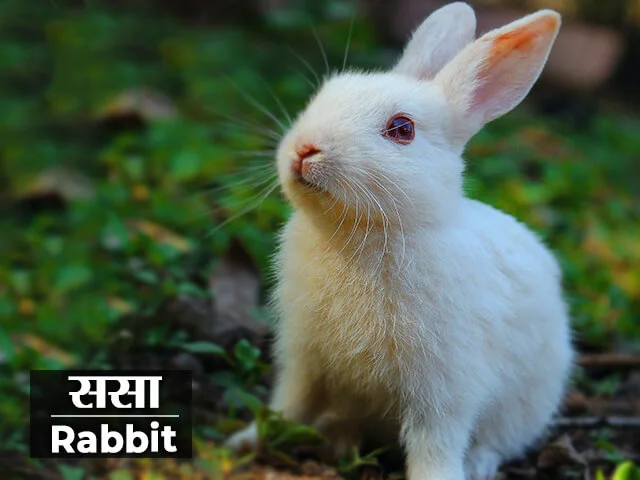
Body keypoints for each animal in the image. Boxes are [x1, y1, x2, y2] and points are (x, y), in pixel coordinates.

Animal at [226, 3, 574, 479]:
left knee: (499, 442)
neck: (364, 232)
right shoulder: (305, 361)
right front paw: (245, 442)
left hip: (525, 405)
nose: (305, 149)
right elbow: (288, 406)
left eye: (402, 129)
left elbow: (434, 444)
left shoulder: (443, 390)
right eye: (325, 94)